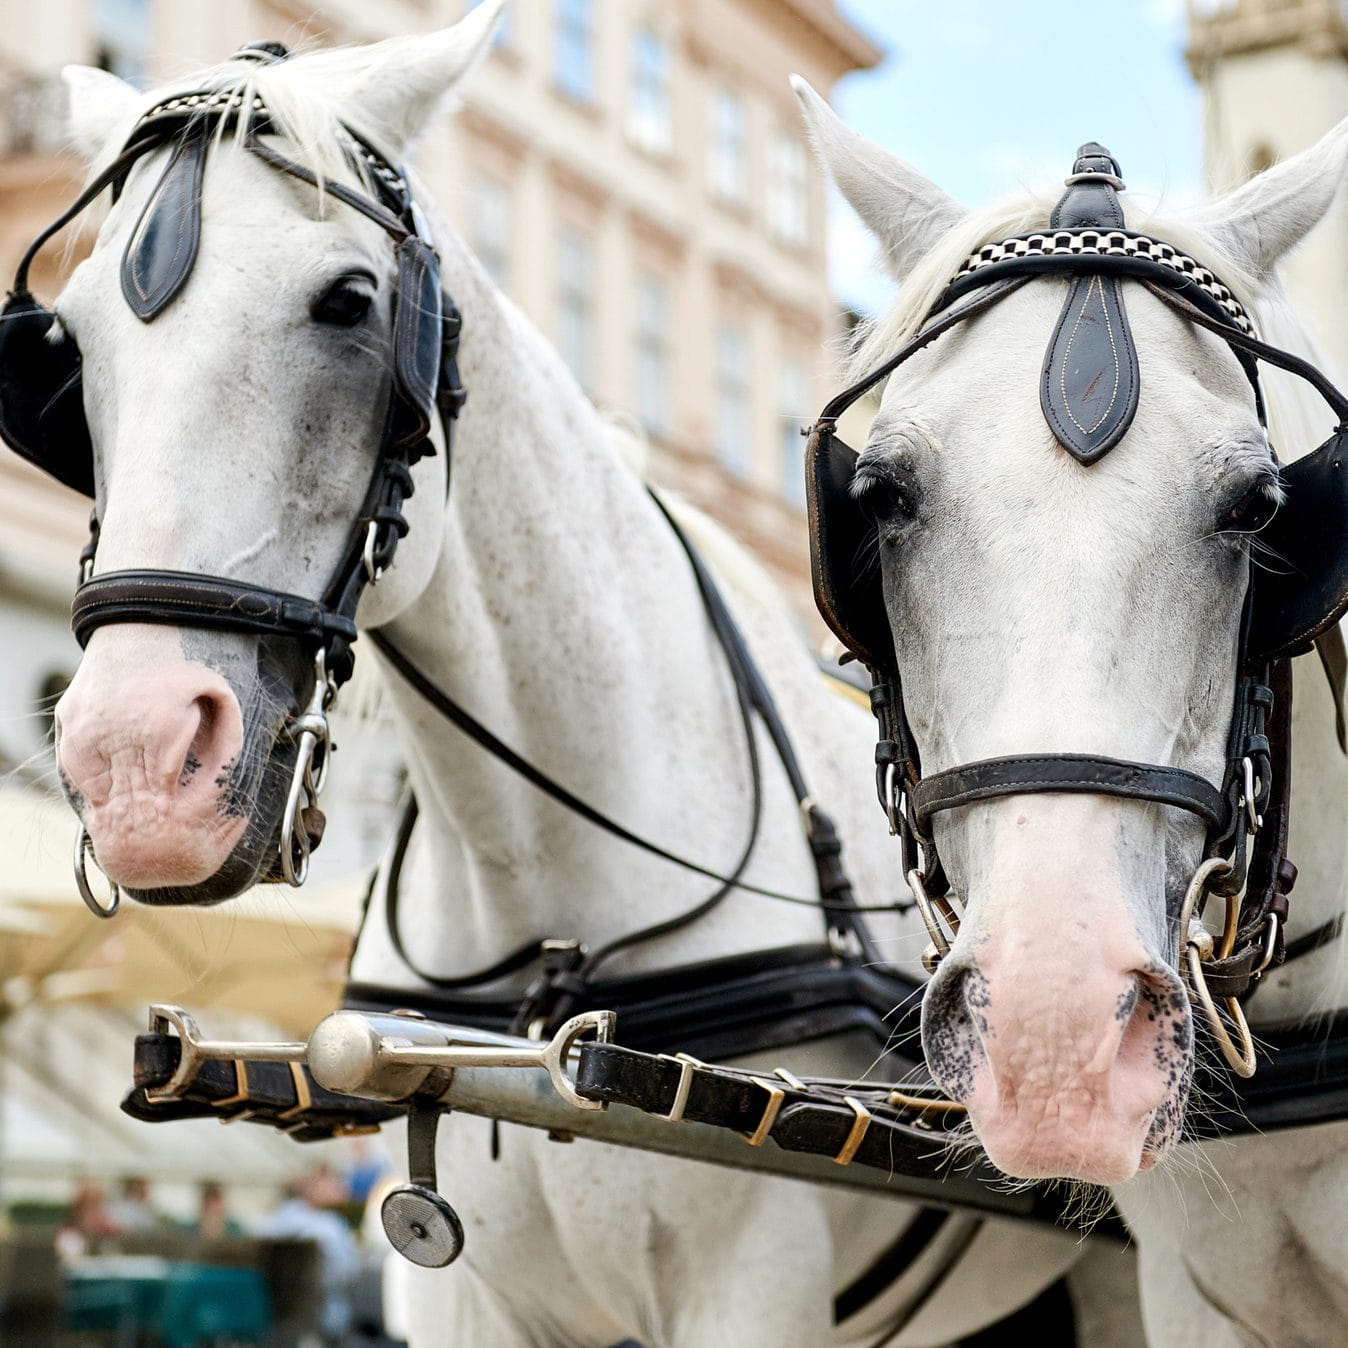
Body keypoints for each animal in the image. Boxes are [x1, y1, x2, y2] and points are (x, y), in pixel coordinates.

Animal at [23, 9, 1142, 1345]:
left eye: (350, 302)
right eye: (66, 339)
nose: (134, 762)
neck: (547, 949)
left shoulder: (747, 1292)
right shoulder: (455, 1294)